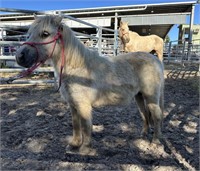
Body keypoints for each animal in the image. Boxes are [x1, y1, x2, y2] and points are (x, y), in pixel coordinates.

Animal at [15, 15, 162, 154]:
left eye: (45, 33)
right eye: (29, 34)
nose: (19, 56)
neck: (77, 69)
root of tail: (156, 60)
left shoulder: (83, 105)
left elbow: (86, 126)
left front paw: (84, 148)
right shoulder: (73, 104)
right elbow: (76, 124)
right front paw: (74, 144)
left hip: (151, 97)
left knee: (156, 116)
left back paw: (155, 142)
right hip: (139, 96)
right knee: (145, 114)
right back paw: (143, 135)